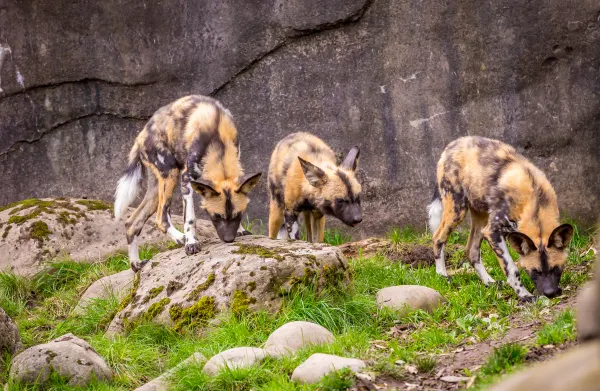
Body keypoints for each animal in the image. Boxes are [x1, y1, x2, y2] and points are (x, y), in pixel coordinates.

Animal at [113, 95, 262, 272]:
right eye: (216, 216)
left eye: (238, 215)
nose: (228, 240)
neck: (218, 138)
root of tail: (140, 136)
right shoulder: (187, 179)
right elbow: (190, 219)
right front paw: (191, 242)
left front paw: (240, 230)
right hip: (170, 174)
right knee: (161, 218)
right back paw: (181, 238)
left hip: (156, 190)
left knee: (132, 223)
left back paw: (136, 265)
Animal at [426, 136, 572, 302]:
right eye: (535, 271)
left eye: (556, 269)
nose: (550, 293)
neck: (535, 201)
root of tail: (453, 144)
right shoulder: (492, 232)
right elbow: (512, 269)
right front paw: (525, 295)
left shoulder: (493, 229)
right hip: (458, 210)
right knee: (438, 238)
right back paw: (442, 275)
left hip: (481, 217)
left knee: (472, 251)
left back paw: (489, 283)